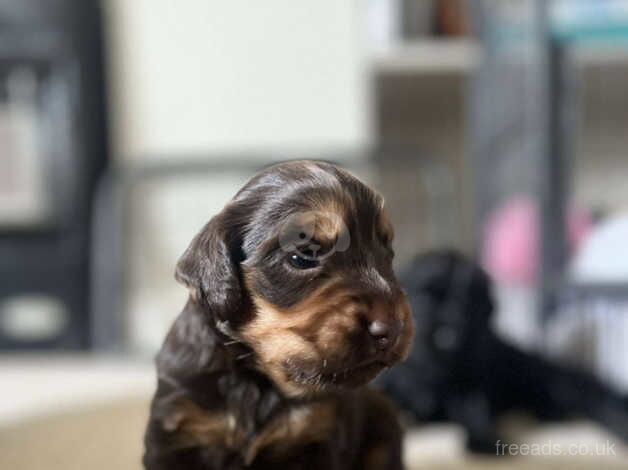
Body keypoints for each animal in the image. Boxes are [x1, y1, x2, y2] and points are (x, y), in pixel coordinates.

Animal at [145, 160, 414, 468]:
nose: (393, 329)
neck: (256, 379)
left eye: (387, 251)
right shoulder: (177, 431)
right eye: (303, 256)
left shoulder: (317, 437)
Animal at [378, 250, 628, 452]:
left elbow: (476, 410)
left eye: (467, 304)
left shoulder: (473, 384)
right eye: (424, 298)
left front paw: (483, 442)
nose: (447, 336)